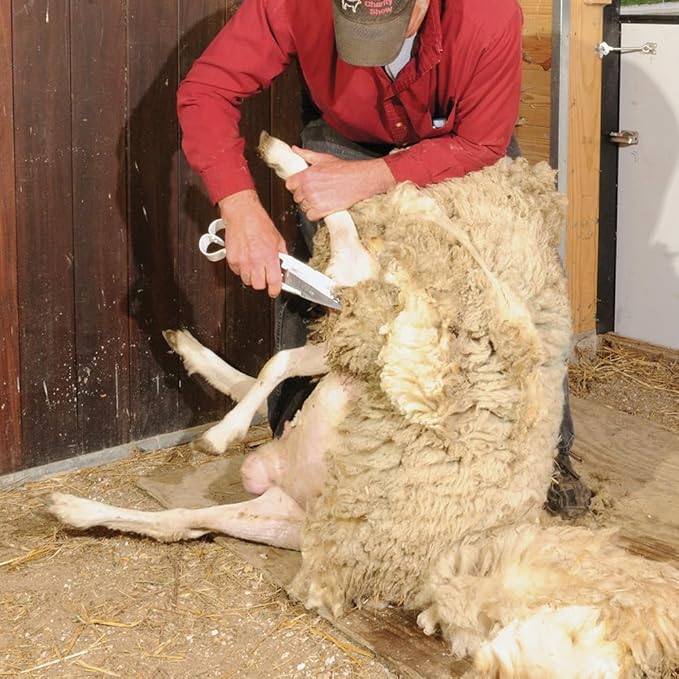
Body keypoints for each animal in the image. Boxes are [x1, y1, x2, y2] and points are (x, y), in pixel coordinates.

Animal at [48, 134, 679, 678]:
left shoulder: (370, 332)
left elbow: (293, 339)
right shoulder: (357, 332)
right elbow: (283, 356)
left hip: (293, 518)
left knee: (186, 517)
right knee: (182, 516)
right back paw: (78, 501)